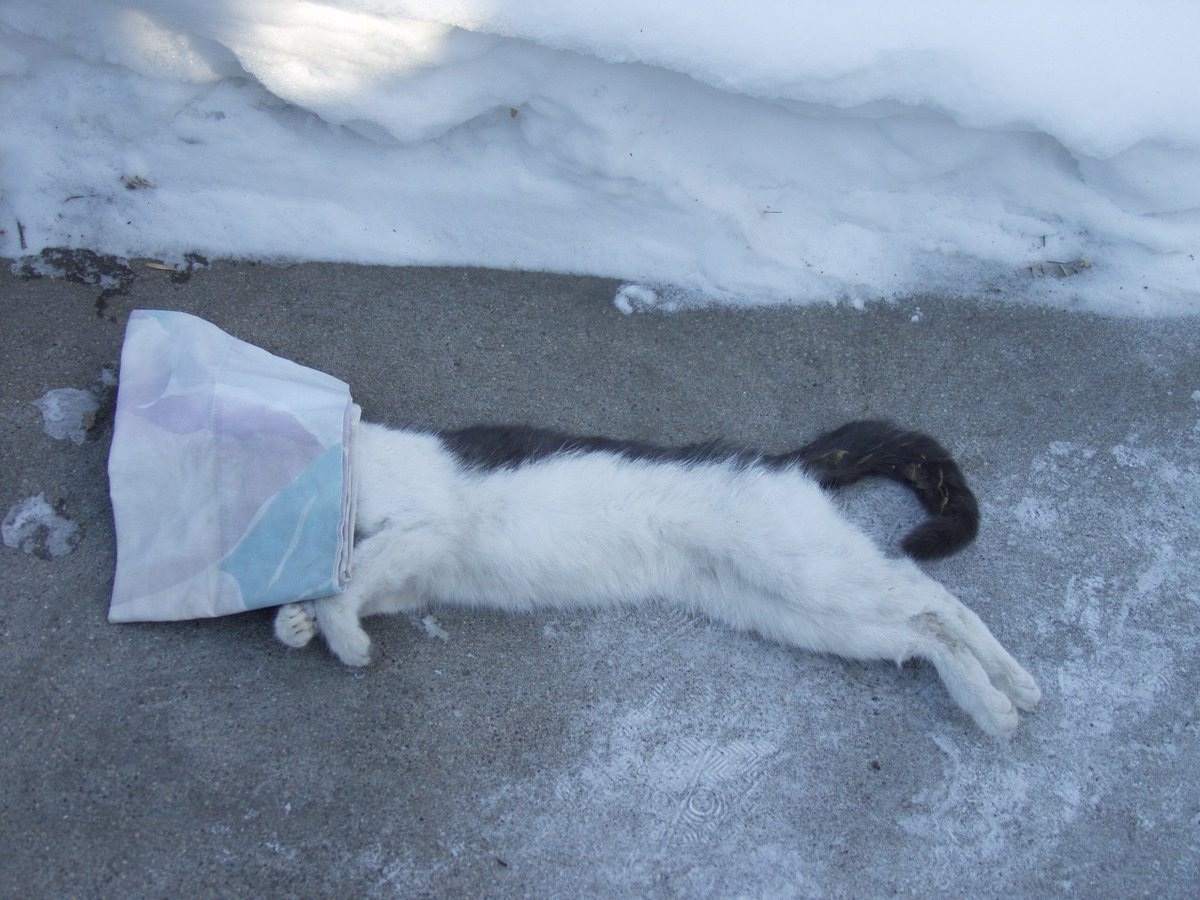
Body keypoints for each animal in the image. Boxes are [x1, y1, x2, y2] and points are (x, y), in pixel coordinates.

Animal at [274, 419, 1040, 737]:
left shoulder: (429, 524)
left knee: (932, 595)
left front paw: (339, 634)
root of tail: (779, 461)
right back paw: (996, 700)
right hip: (799, 614)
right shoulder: (415, 576)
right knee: (920, 631)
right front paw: (296, 620)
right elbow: (360, 586)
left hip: (812, 571)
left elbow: (351, 581)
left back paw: (1010, 685)